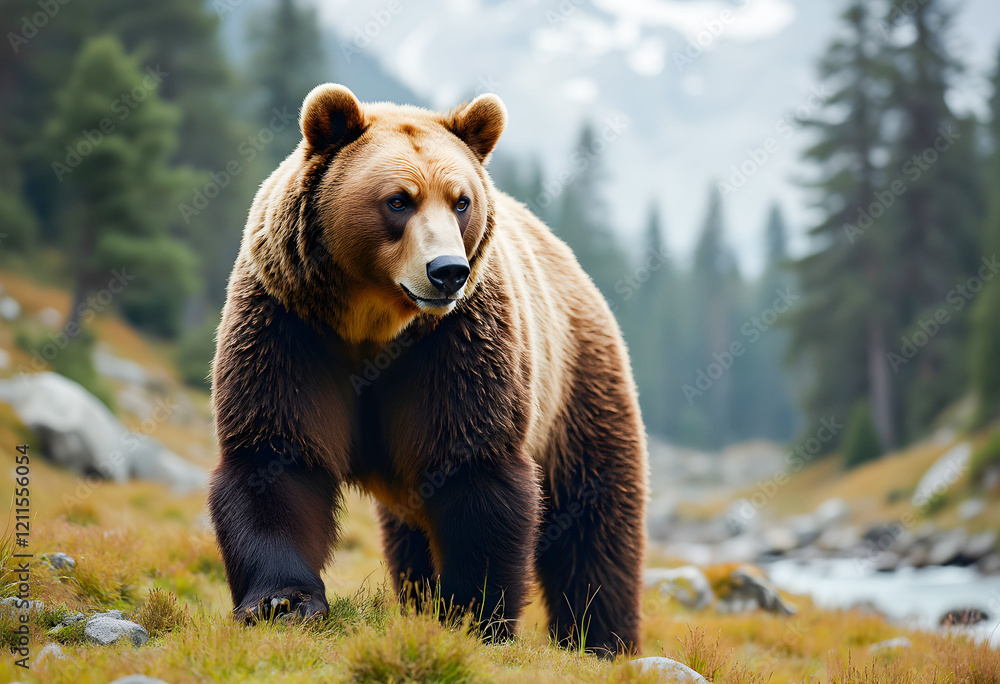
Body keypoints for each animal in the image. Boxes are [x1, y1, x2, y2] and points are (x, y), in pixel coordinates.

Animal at [208, 83, 649, 656]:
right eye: (399, 199)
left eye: (461, 201)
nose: (447, 271)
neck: (372, 324)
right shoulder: (290, 326)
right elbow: (277, 453)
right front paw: (281, 602)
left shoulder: (455, 344)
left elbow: (473, 467)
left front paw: (473, 615)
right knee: (412, 541)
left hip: (576, 391)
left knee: (595, 523)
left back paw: (601, 638)